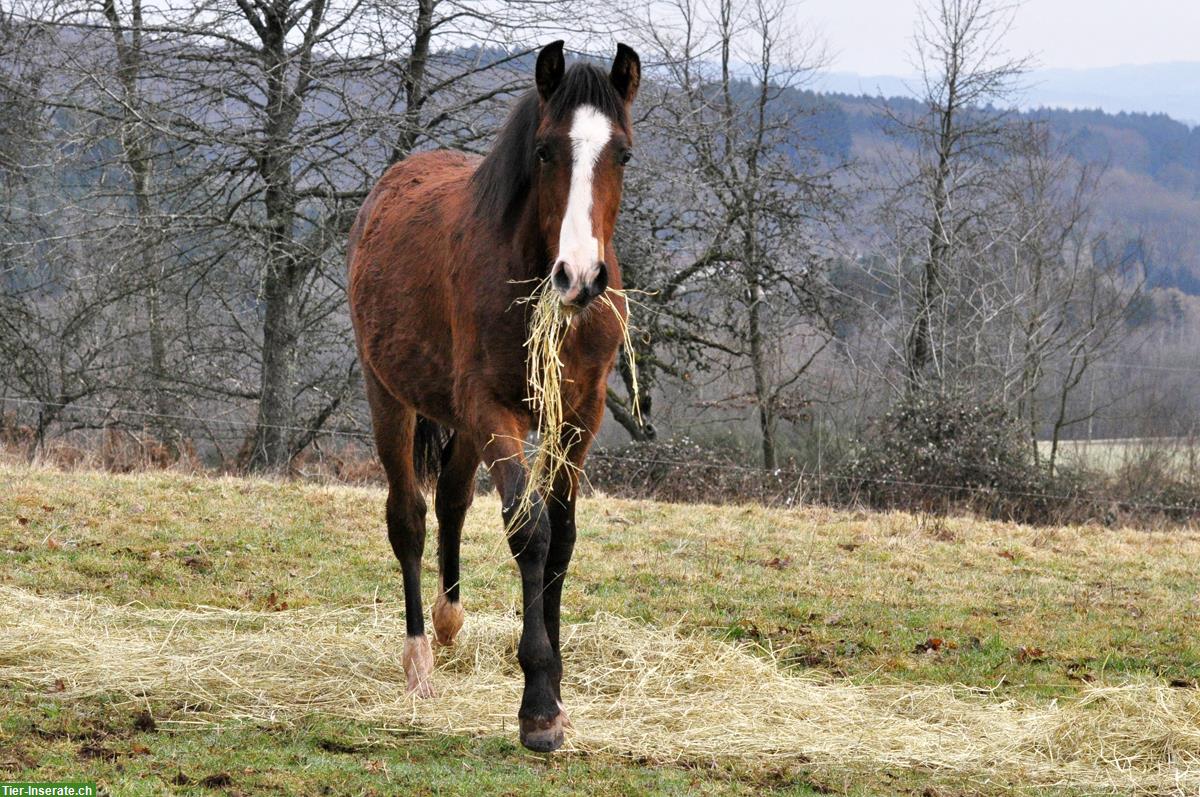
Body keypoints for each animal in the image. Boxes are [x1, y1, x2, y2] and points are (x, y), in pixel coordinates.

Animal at [345, 42, 638, 753]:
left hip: (464, 425)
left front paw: (557, 691)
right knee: (409, 518)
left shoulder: (579, 417)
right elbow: (529, 532)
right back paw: (419, 662)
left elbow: (561, 537)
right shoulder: (493, 409)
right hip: (390, 398)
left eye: (621, 154)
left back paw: (450, 622)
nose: (580, 277)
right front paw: (537, 708)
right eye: (546, 151)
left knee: (451, 500)